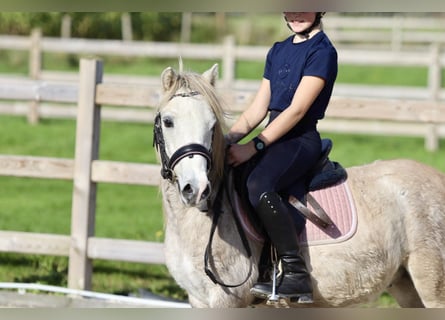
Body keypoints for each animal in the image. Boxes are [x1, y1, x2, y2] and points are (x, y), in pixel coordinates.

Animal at [153, 63, 444, 308]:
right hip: (405, 285)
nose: (197, 189)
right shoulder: (198, 299)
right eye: (168, 121)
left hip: (432, 284)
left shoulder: (226, 301)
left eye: (212, 125)